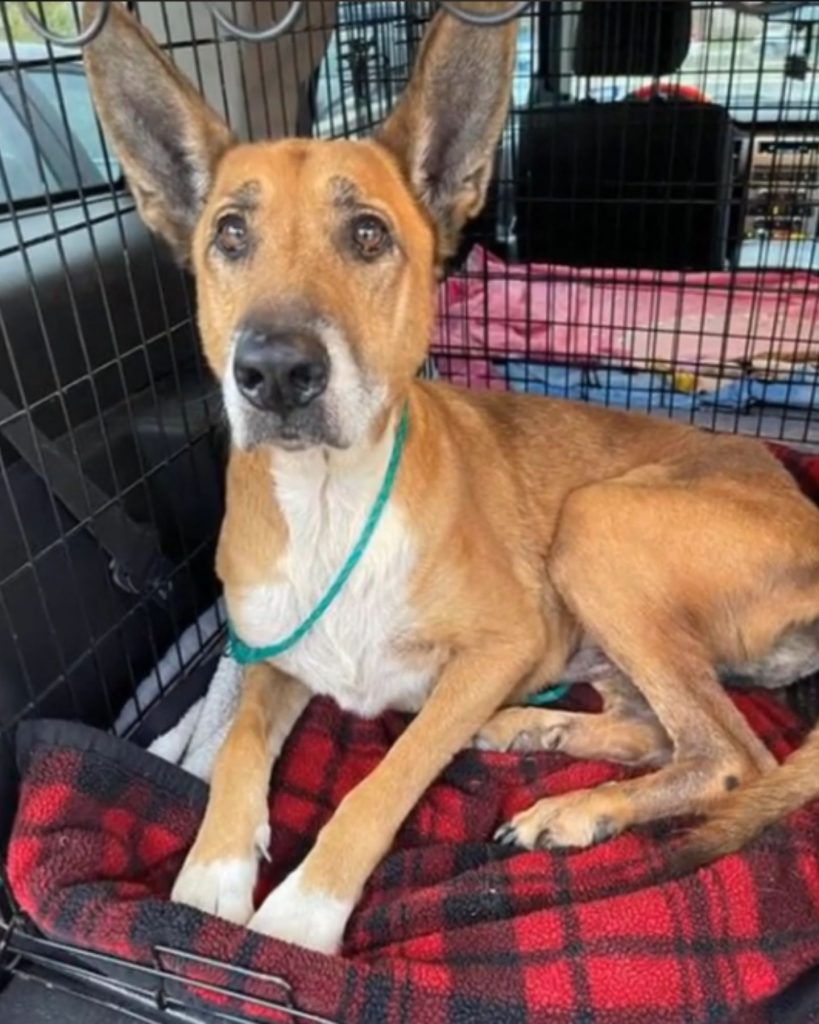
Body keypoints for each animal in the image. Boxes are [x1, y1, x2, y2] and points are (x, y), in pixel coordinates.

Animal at [84, 4, 819, 954]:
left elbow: (386, 777)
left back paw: (574, 806)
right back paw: (535, 731)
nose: (274, 372)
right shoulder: (271, 652)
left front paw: (304, 909)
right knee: (657, 733)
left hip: (598, 526)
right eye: (229, 235)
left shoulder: (500, 646)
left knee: (729, 756)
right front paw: (212, 873)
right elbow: (240, 743)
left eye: (367, 233)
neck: (330, 504)